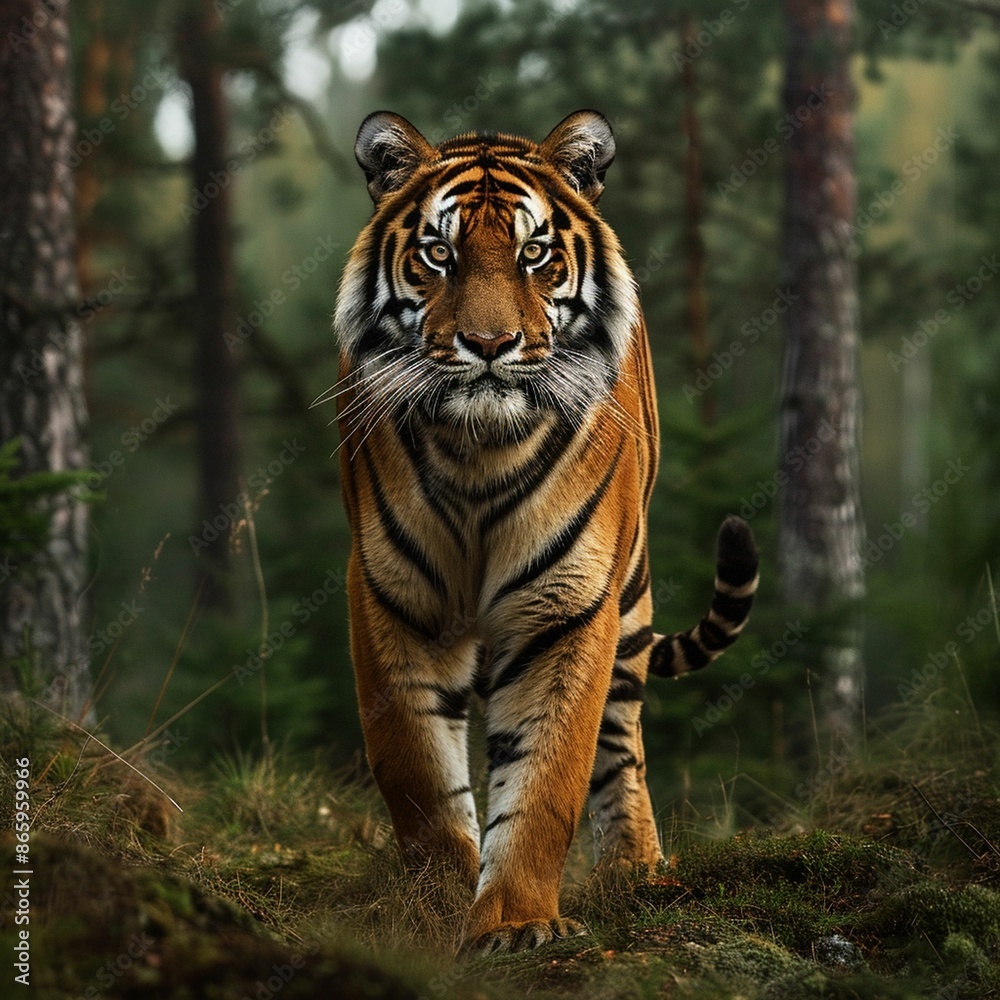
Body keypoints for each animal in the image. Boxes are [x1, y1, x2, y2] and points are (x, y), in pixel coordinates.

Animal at [332, 109, 759, 956]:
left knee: (622, 744)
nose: (490, 345)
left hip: (628, 594)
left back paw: (636, 871)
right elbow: (418, 771)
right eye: (439, 254)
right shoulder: (392, 596)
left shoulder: (564, 606)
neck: (476, 450)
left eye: (534, 253)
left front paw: (514, 923)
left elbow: (546, 777)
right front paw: (436, 907)